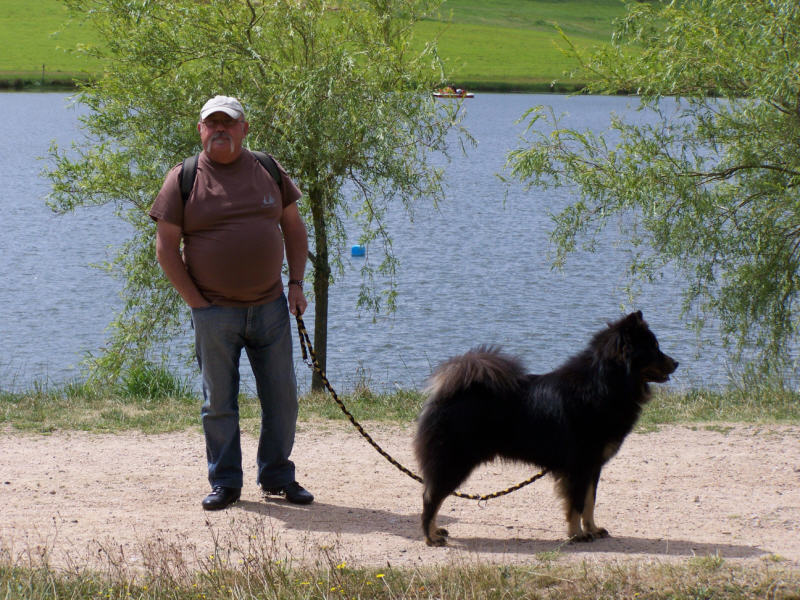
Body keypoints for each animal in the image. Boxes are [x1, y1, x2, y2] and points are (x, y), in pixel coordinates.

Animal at [416, 312, 680, 548]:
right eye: (654, 348)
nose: (677, 362)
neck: (604, 385)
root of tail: (443, 395)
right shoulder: (579, 467)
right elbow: (576, 504)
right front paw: (577, 535)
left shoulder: (593, 466)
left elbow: (590, 502)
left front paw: (592, 529)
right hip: (454, 462)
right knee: (431, 497)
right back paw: (431, 537)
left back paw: (436, 531)